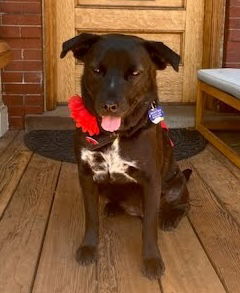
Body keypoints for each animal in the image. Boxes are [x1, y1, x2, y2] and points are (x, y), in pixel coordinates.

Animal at [60, 33, 191, 278]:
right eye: (96, 70)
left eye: (135, 73)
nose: (109, 105)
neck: (116, 135)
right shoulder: (87, 175)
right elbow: (91, 218)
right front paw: (89, 247)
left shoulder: (151, 182)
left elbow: (149, 227)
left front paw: (151, 259)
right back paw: (113, 207)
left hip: (175, 183)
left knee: (184, 205)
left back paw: (170, 217)